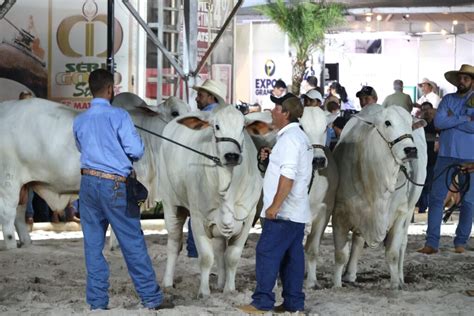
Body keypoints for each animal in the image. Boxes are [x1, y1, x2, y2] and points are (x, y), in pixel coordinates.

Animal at [0, 94, 189, 249]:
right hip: (9, 181)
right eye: (174, 113)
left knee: (19, 214)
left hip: (24, 186)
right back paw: (11, 245)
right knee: (8, 213)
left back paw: (26, 243)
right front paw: (116, 246)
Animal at [159, 105, 262, 296]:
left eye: (243, 127)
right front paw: (204, 292)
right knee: (174, 243)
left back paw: (221, 283)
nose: (231, 155)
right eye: (217, 126)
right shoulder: (198, 218)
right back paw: (168, 283)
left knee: (220, 248)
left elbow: (232, 257)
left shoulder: (248, 217)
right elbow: (206, 257)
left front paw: (229, 290)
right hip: (171, 204)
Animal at [332, 105, 428, 290]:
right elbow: (341, 254)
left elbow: (392, 253)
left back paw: (401, 276)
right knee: (357, 240)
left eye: (410, 123)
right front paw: (336, 285)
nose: (411, 150)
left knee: (403, 244)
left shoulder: (400, 214)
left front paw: (395, 285)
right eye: (387, 123)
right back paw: (350, 274)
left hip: (411, 208)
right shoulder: (339, 213)